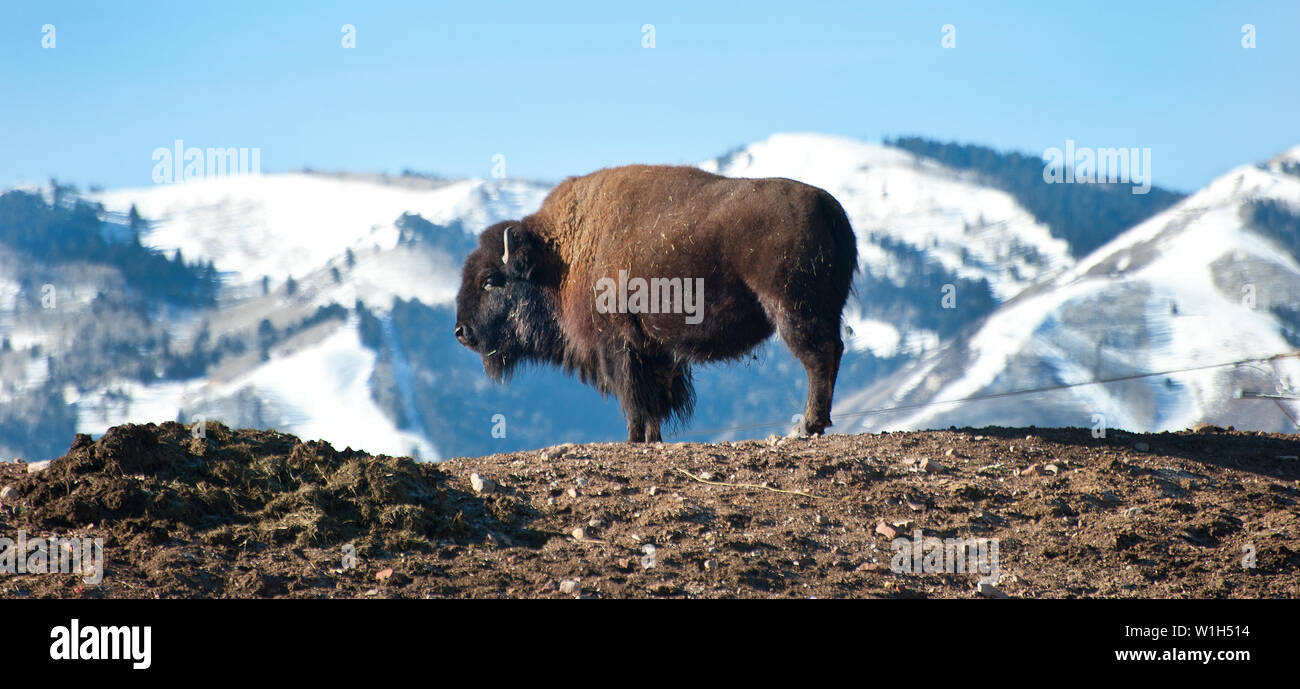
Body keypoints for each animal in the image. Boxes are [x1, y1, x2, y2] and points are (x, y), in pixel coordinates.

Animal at [455, 165, 857, 442]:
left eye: (490, 280)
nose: (461, 331)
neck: (560, 257)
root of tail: (828, 205)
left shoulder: (618, 347)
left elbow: (634, 400)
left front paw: (634, 439)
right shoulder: (653, 352)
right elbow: (653, 403)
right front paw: (652, 438)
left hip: (792, 310)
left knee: (819, 356)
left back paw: (807, 426)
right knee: (831, 353)